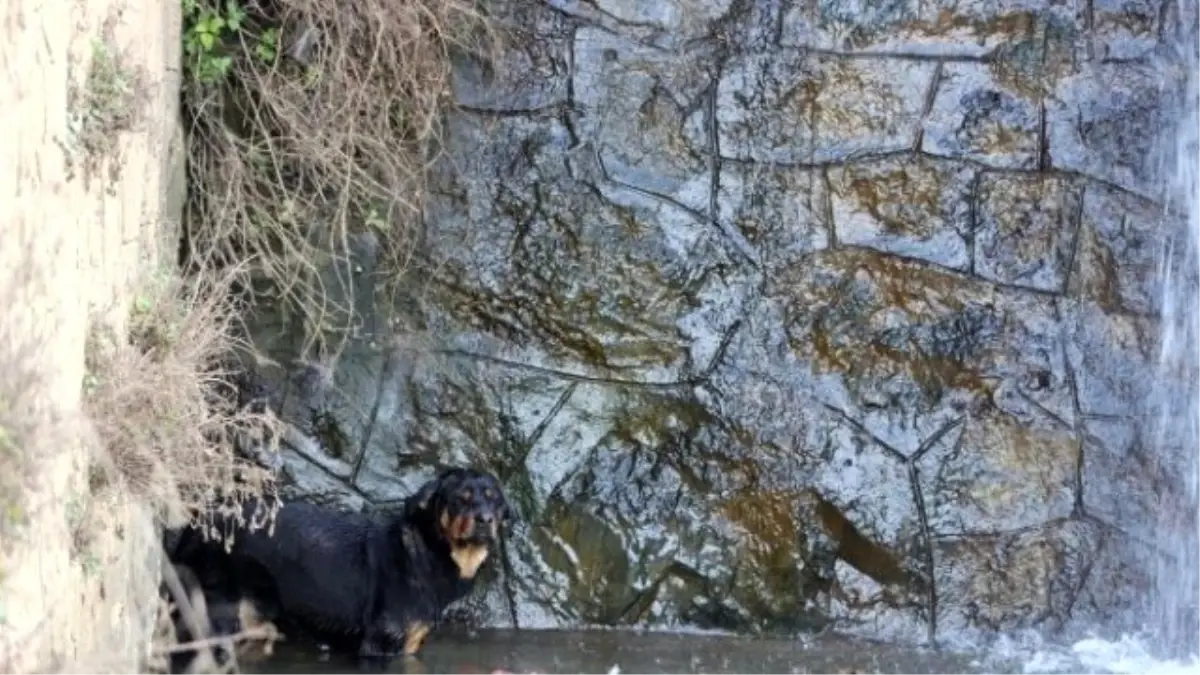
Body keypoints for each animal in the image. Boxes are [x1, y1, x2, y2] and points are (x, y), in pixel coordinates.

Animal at [165, 466, 511, 658]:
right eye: (460, 499)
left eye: (494, 500)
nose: (485, 519)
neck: (428, 552)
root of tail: (197, 522)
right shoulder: (381, 643)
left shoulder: (409, 642)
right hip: (218, 609)